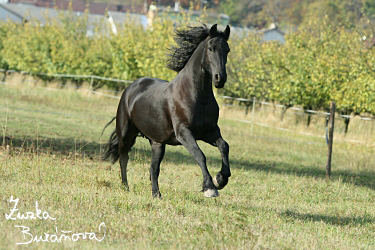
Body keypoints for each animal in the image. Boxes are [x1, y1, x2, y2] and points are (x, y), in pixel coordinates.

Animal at [103, 24, 232, 198]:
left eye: (227, 50)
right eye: (210, 48)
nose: (220, 79)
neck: (197, 96)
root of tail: (130, 88)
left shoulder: (209, 131)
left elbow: (224, 146)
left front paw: (221, 179)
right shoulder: (184, 132)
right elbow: (200, 155)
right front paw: (210, 188)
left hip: (157, 143)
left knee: (153, 168)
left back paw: (156, 194)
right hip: (126, 133)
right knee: (123, 156)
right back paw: (125, 187)